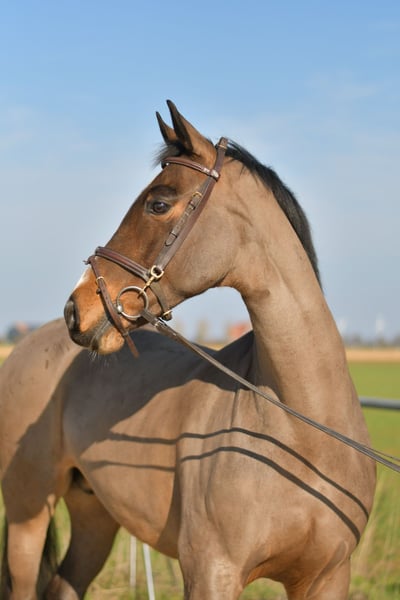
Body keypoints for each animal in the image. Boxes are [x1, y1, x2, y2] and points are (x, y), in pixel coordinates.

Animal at [0, 101, 376, 599]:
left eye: (158, 203)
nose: (76, 308)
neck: (303, 434)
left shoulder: (327, 578)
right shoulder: (212, 573)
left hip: (94, 515)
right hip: (27, 517)